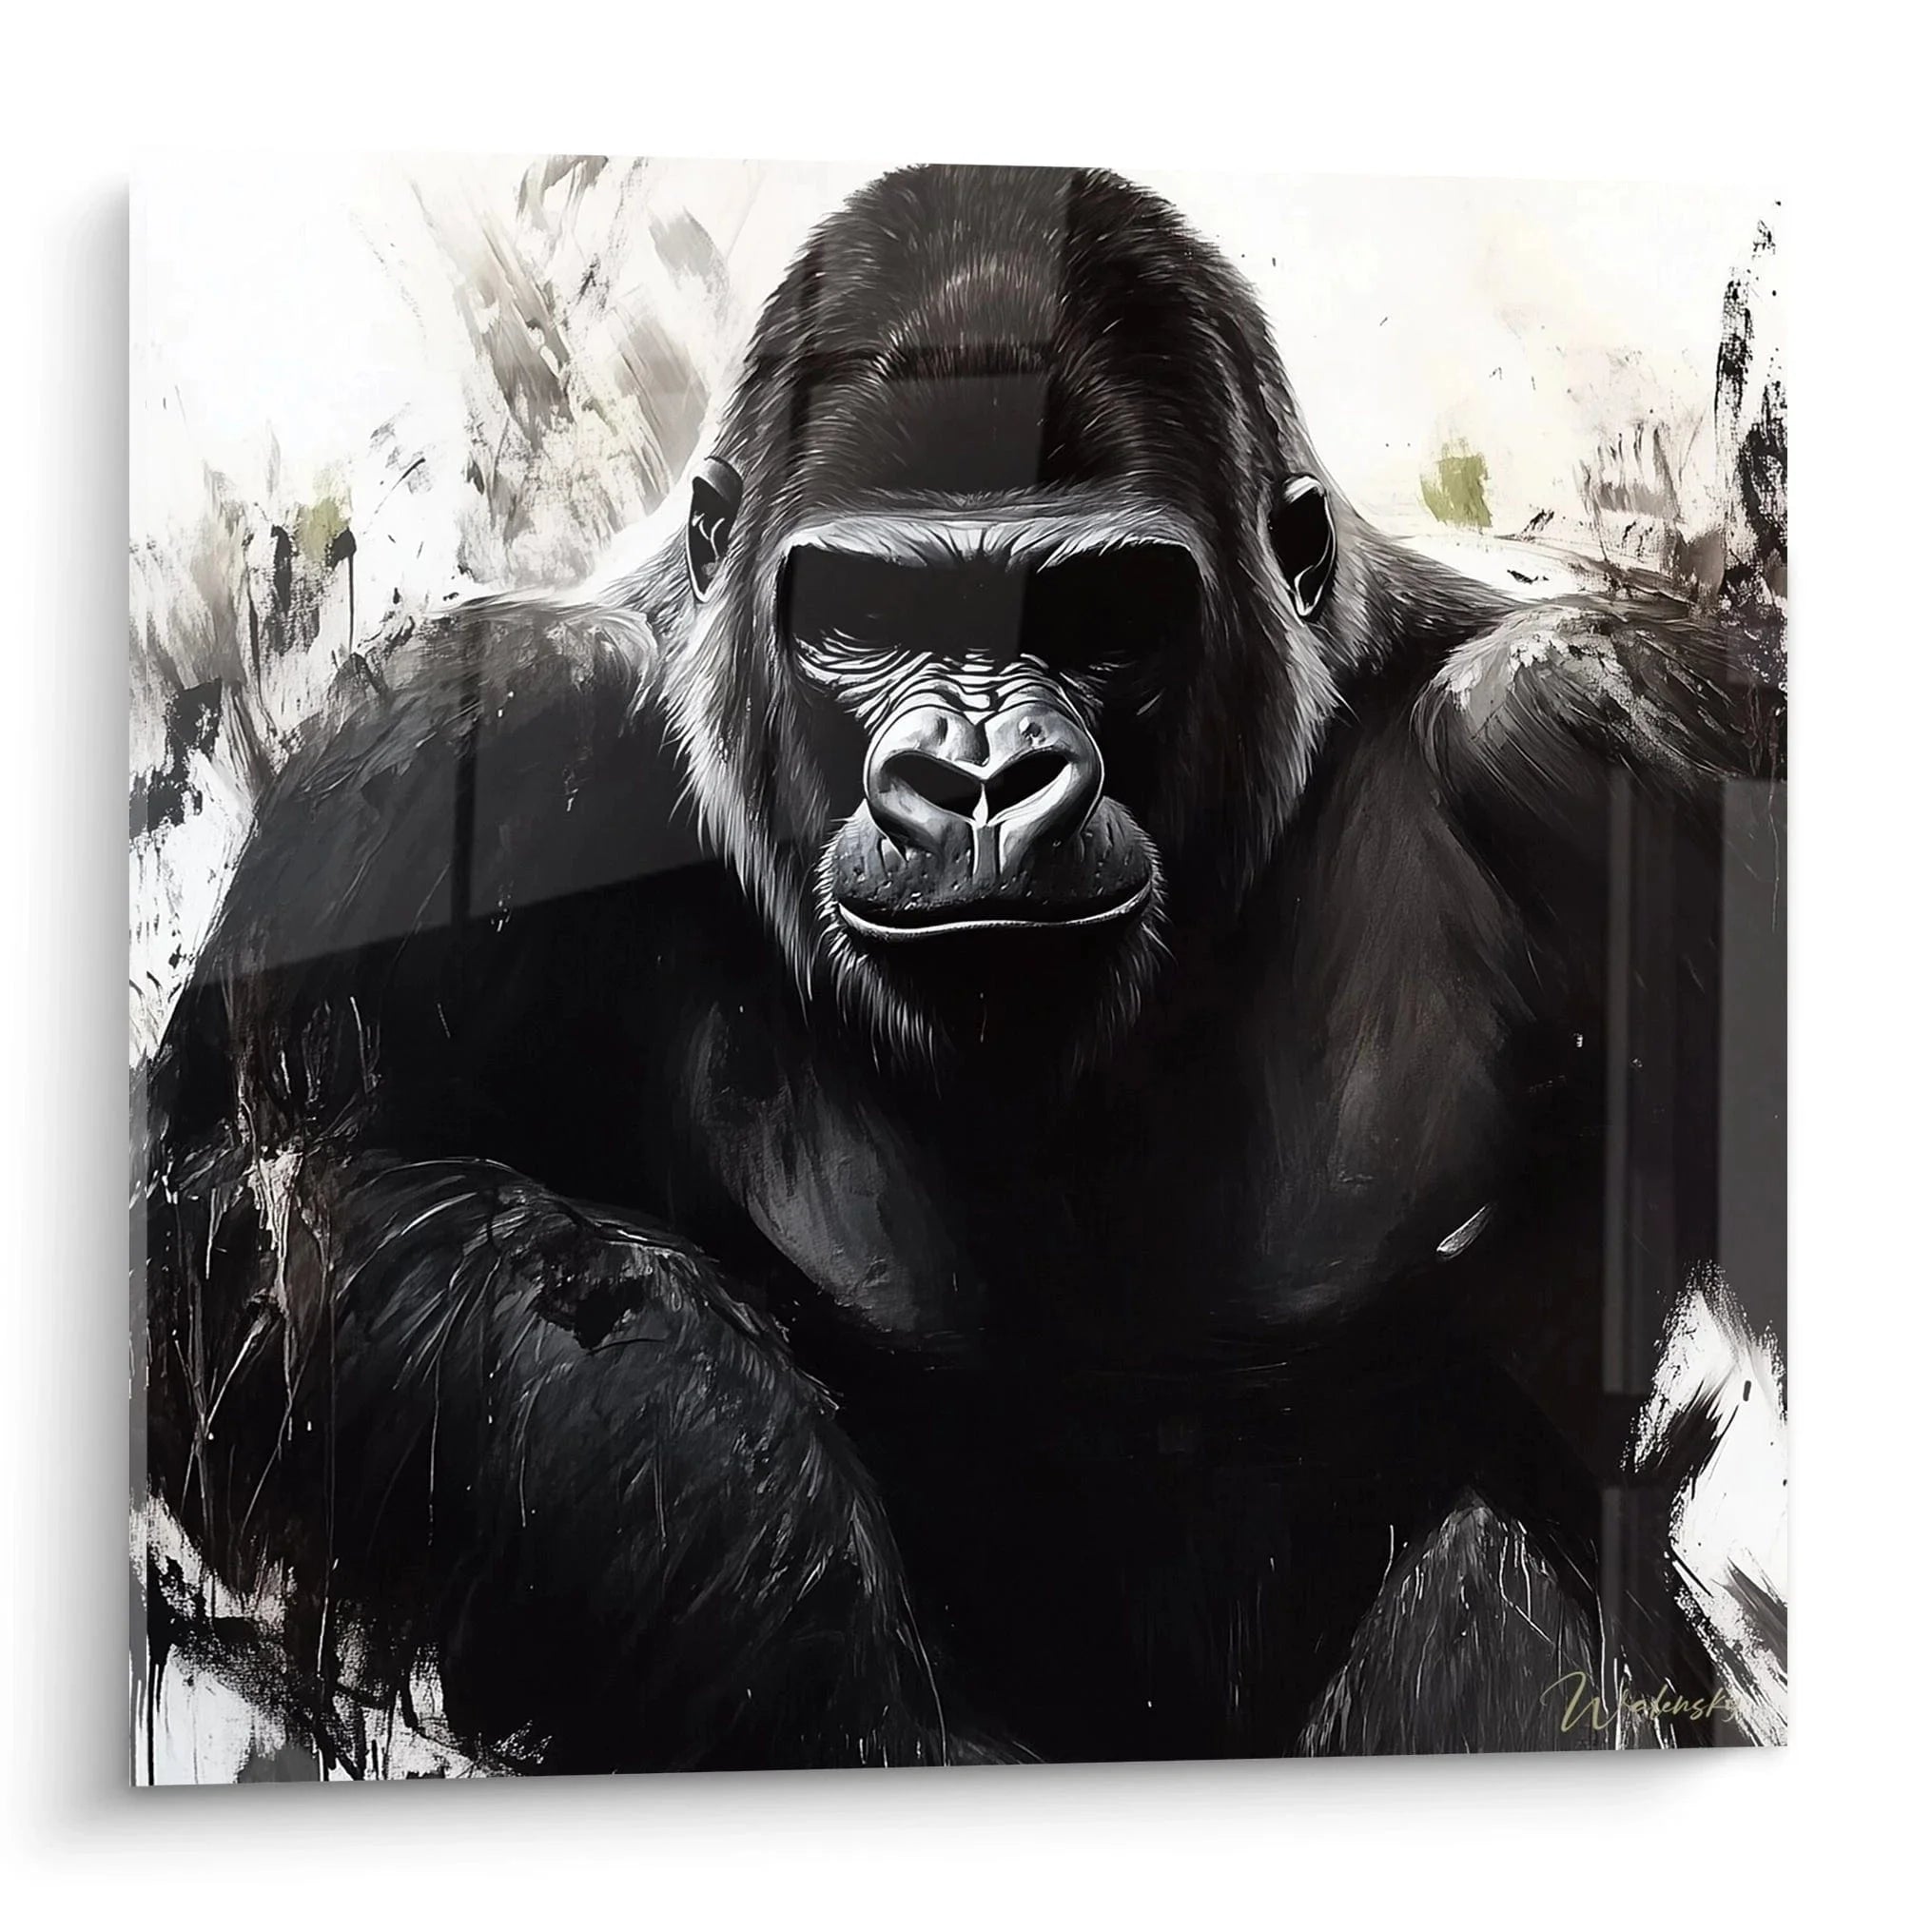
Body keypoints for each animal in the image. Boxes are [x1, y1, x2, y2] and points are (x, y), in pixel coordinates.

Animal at [142, 163, 1784, 1772]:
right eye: (869, 615)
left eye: (1098, 613)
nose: (982, 779)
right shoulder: (472, 740)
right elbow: (251, 1223)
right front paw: (728, 1476)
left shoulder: (1624, 743)